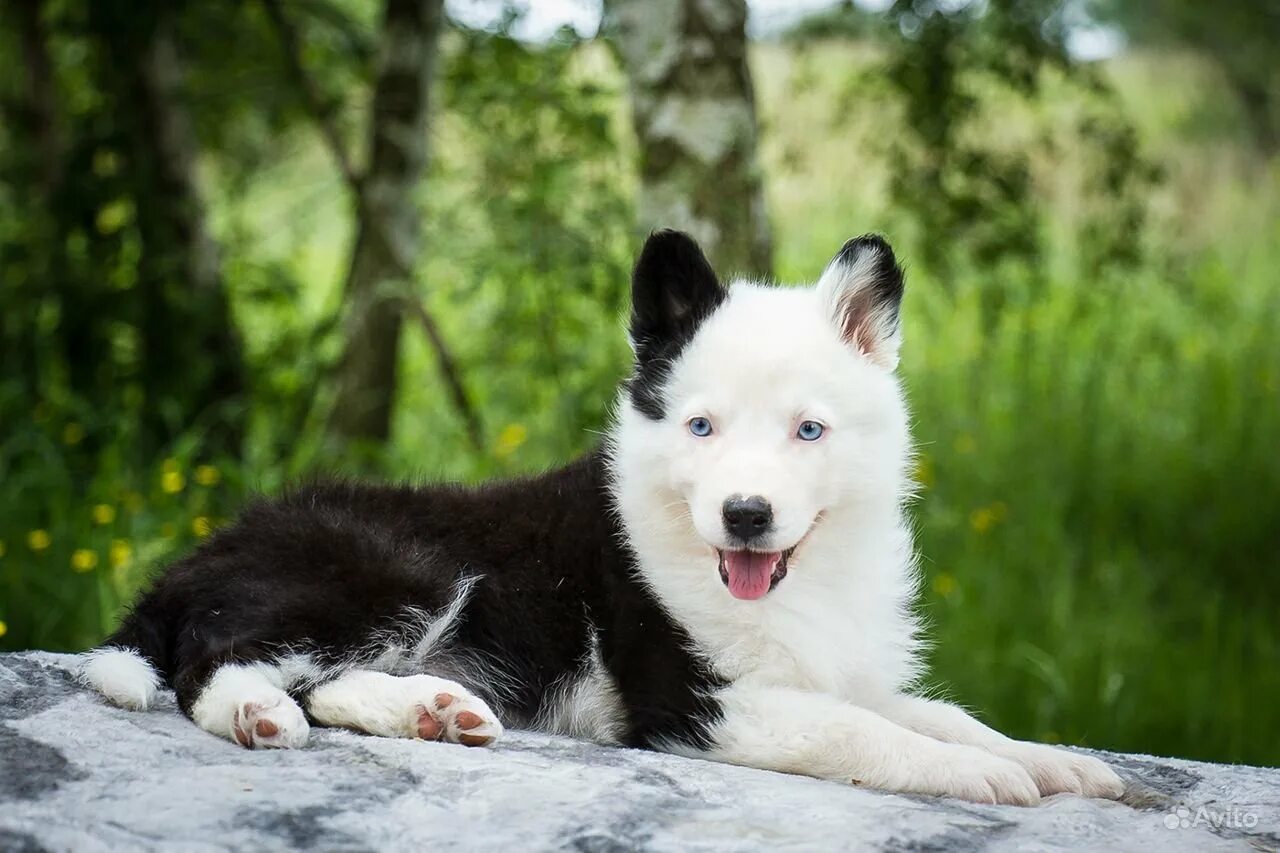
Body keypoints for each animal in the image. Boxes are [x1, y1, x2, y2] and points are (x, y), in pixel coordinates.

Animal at [82, 229, 1121, 799]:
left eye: (809, 430)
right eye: (700, 425)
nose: (746, 516)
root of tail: (200, 552)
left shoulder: (832, 667)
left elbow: (939, 712)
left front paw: (1050, 762)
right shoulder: (695, 698)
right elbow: (865, 732)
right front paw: (984, 778)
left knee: (324, 681)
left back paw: (434, 709)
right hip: (391, 570)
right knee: (220, 656)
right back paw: (257, 712)